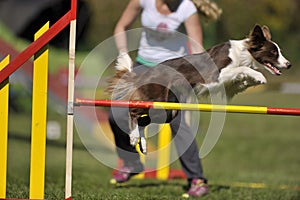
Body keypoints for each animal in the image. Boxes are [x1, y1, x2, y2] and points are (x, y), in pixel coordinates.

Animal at [107, 25, 290, 152]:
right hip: (156, 99)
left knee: (143, 120)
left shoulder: (228, 85)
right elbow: (242, 69)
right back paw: (133, 137)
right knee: (133, 111)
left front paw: (254, 78)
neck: (243, 53)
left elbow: (241, 77)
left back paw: (143, 144)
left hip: (169, 110)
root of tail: (145, 74)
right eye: (273, 53)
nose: (289, 64)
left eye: (279, 51)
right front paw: (260, 76)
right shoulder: (215, 76)